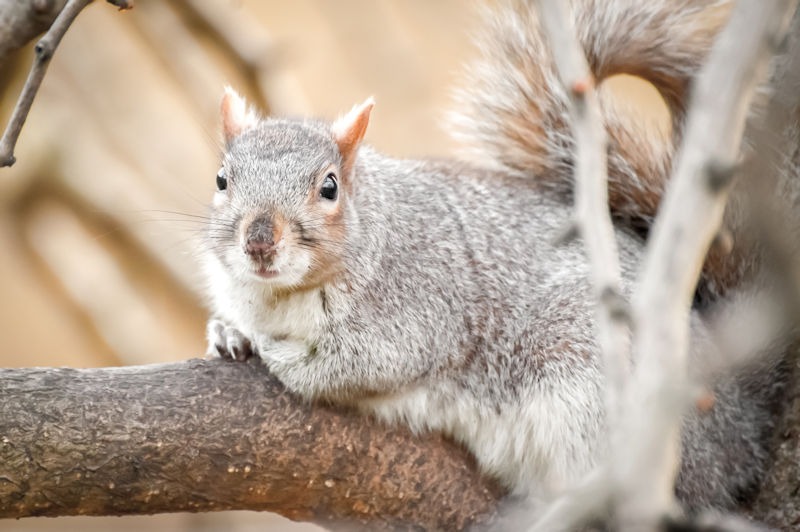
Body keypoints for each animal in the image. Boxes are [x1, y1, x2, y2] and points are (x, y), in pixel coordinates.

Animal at [202, 0, 795, 515]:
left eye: (328, 187)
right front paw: (227, 331)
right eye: (222, 180)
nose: (259, 241)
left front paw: (275, 352)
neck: (280, 295)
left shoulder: (418, 308)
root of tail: (741, 424)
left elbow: (352, 365)